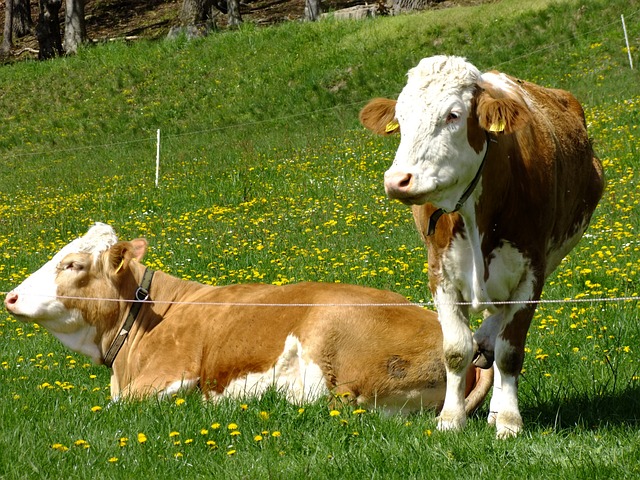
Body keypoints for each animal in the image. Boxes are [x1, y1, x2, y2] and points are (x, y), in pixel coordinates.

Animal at [360, 55, 604, 436]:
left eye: (453, 115)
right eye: (400, 119)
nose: (398, 180)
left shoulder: (532, 272)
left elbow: (510, 352)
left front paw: (509, 420)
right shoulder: (440, 272)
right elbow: (456, 350)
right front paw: (451, 418)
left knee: (499, 331)